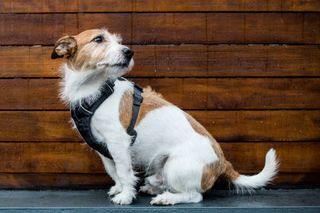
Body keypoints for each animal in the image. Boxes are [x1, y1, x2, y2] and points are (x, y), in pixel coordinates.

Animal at [51, 28, 278, 205]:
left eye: (119, 42)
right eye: (98, 39)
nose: (129, 52)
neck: (94, 89)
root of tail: (223, 163)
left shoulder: (118, 142)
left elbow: (124, 171)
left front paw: (125, 196)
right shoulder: (104, 148)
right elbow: (114, 171)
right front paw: (120, 188)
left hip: (175, 166)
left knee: (194, 196)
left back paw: (167, 198)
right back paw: (153, 188)